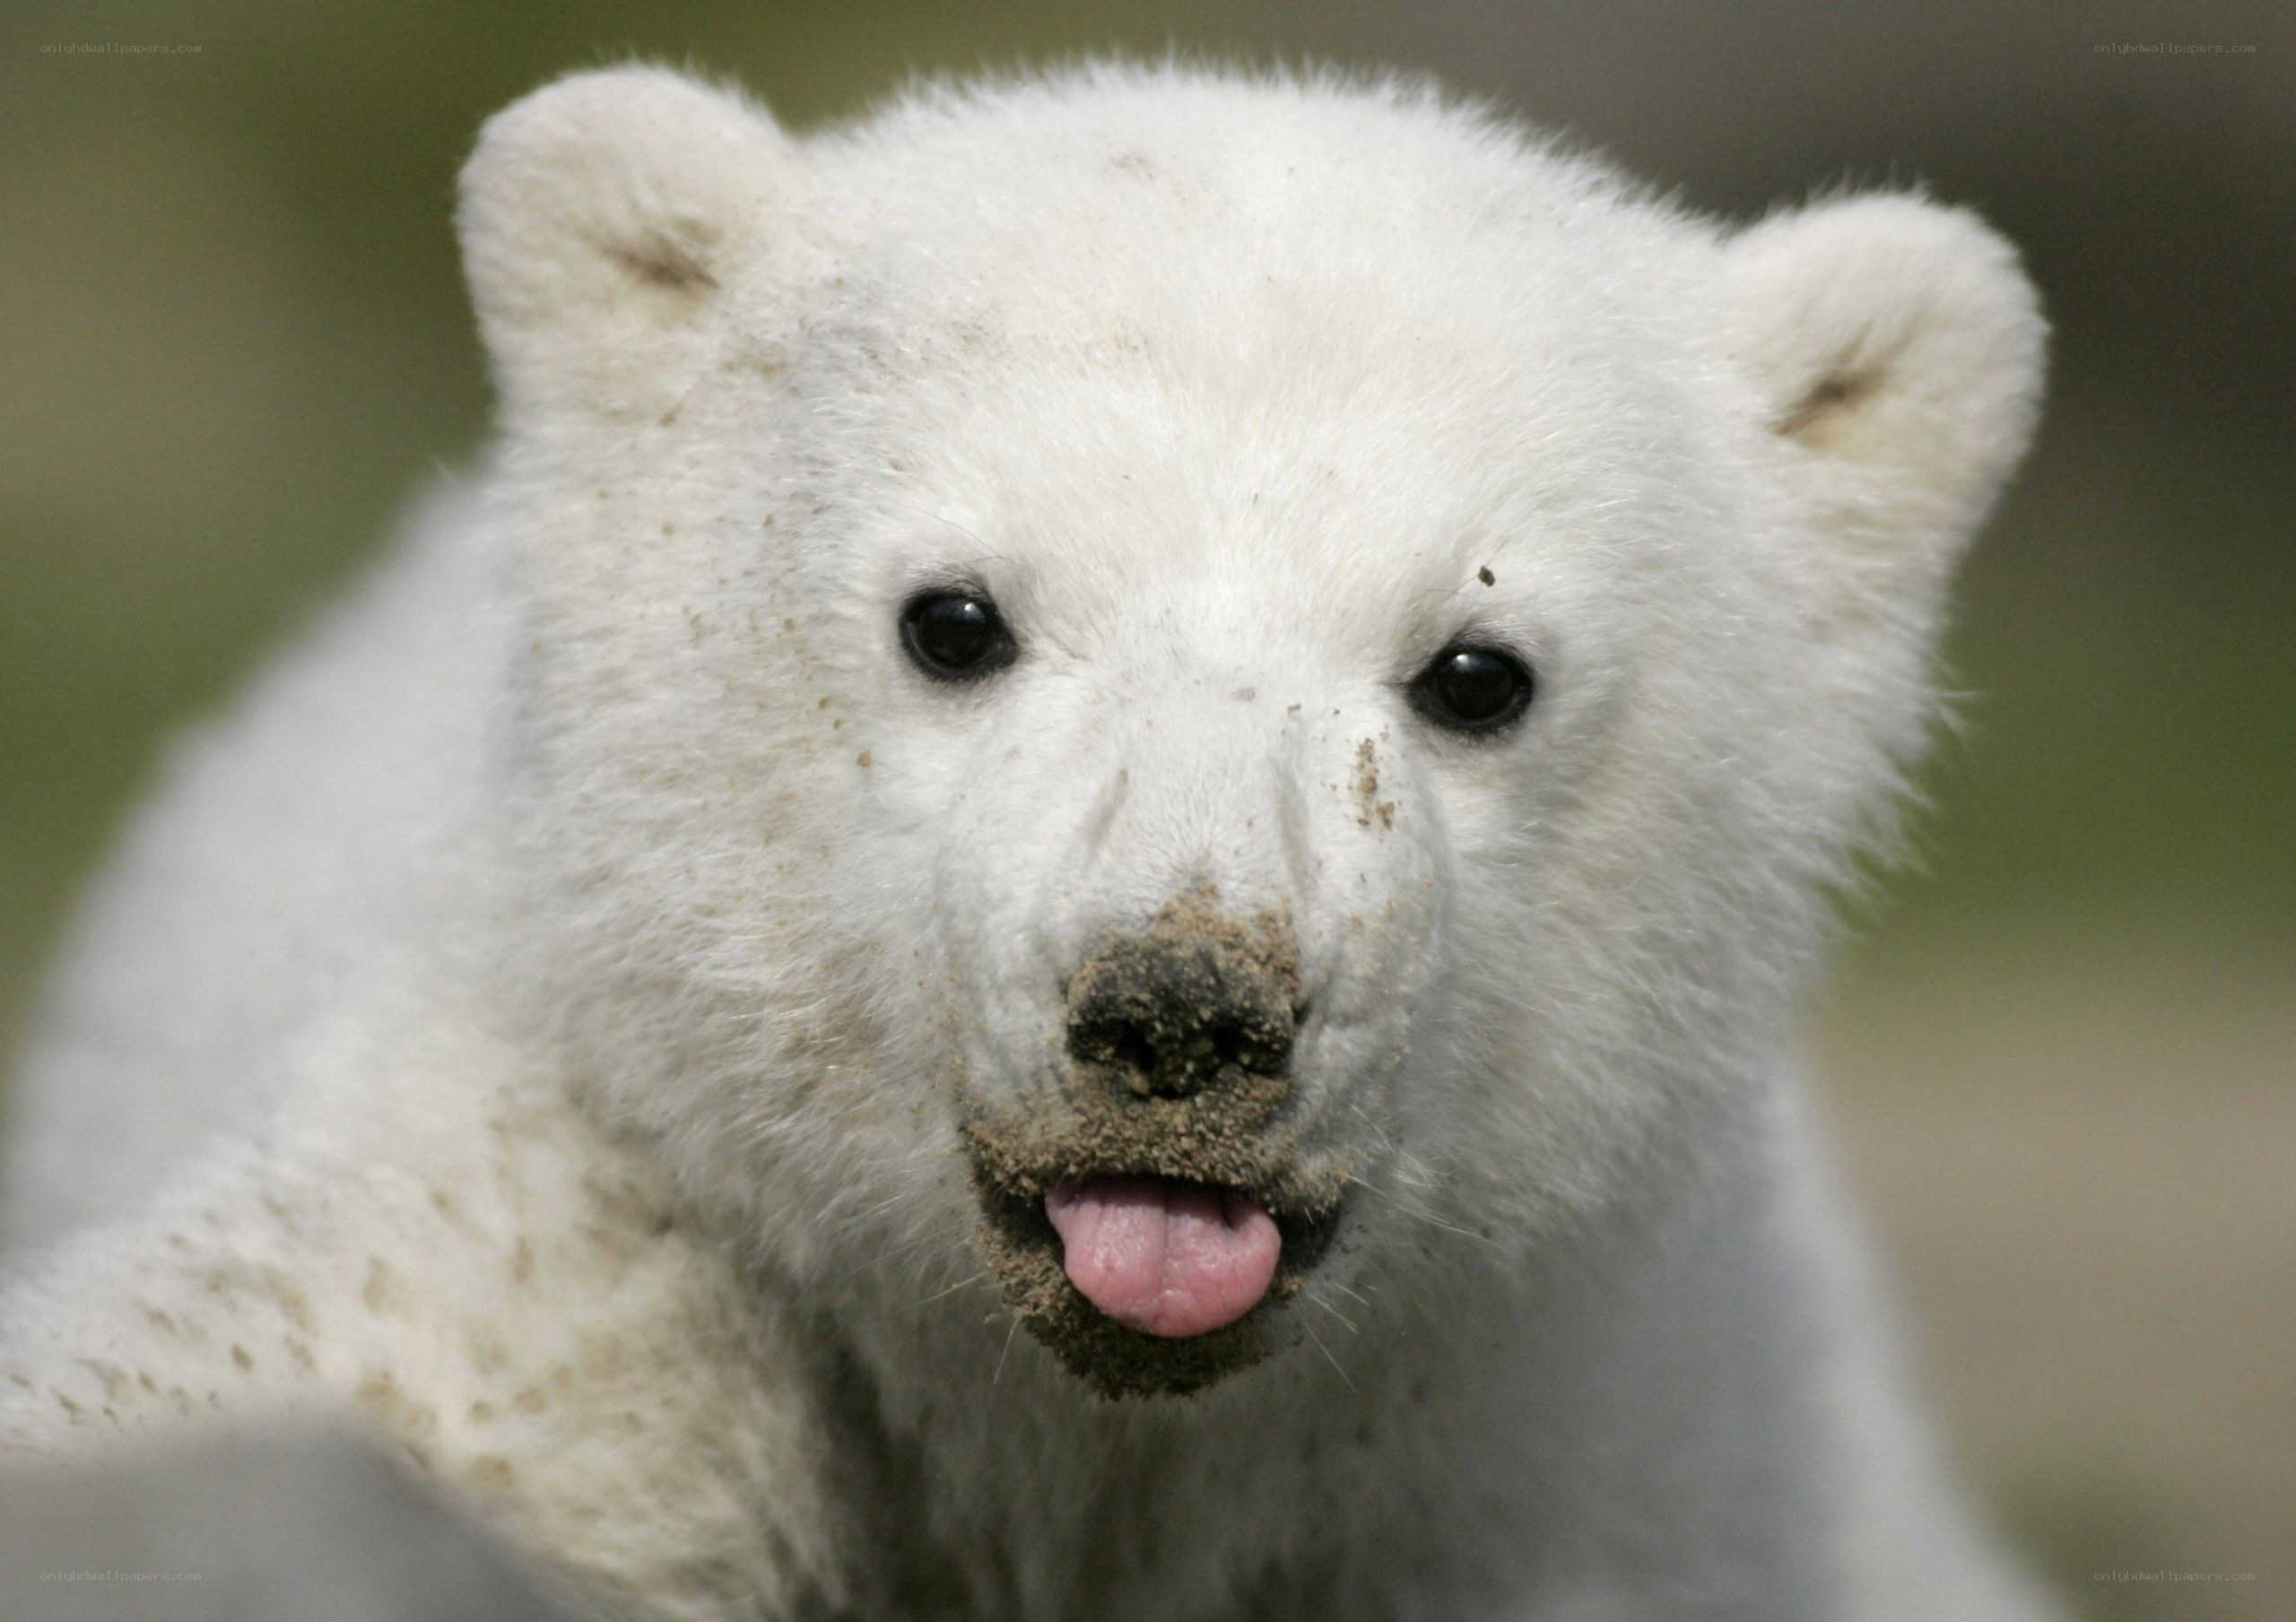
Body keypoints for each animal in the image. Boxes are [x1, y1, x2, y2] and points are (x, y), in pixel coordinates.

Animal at [0, 60, 2053, 1622]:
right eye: (954, 617)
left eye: (1478, 667)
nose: (1180, 1014)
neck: (1070, 1443)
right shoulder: (590, 1250)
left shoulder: (1589, 1466)